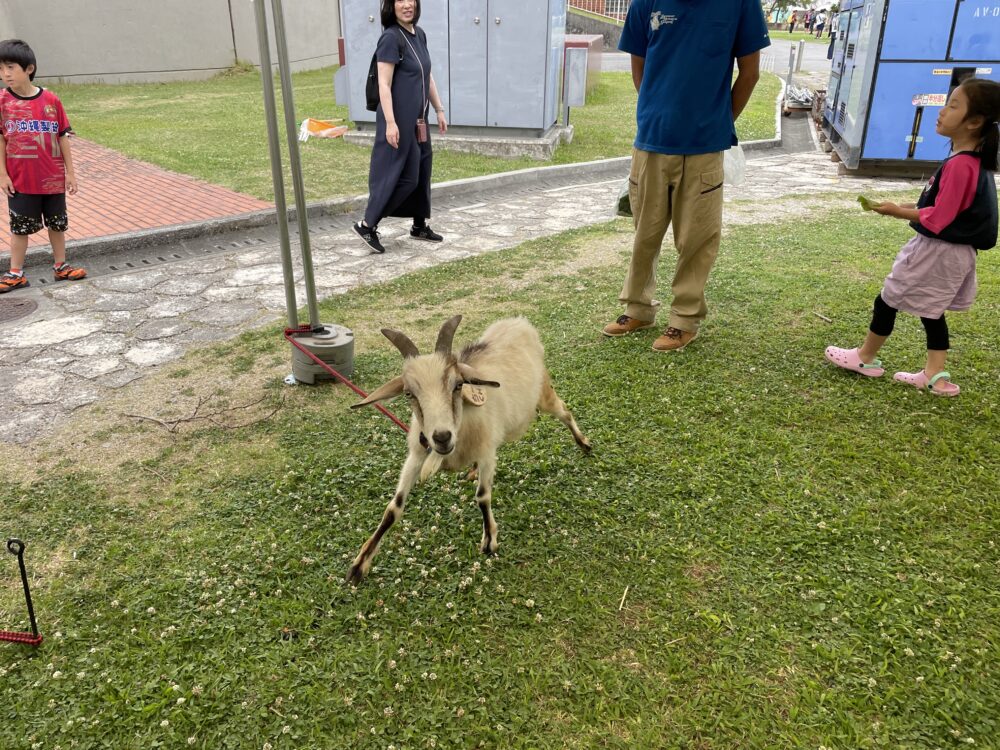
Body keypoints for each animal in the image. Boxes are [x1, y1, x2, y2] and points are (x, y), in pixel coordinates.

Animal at [348, 314, 588, 584]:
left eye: (458, 385)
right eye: (409, 393)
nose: (442, 437)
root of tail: (518, 322)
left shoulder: (486, 452)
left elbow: (483, 496)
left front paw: (490, 541)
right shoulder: (418, 455)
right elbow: (393, 507)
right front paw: (359, 564)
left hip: (544, 395)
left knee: (565, 411)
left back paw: (584, 443)